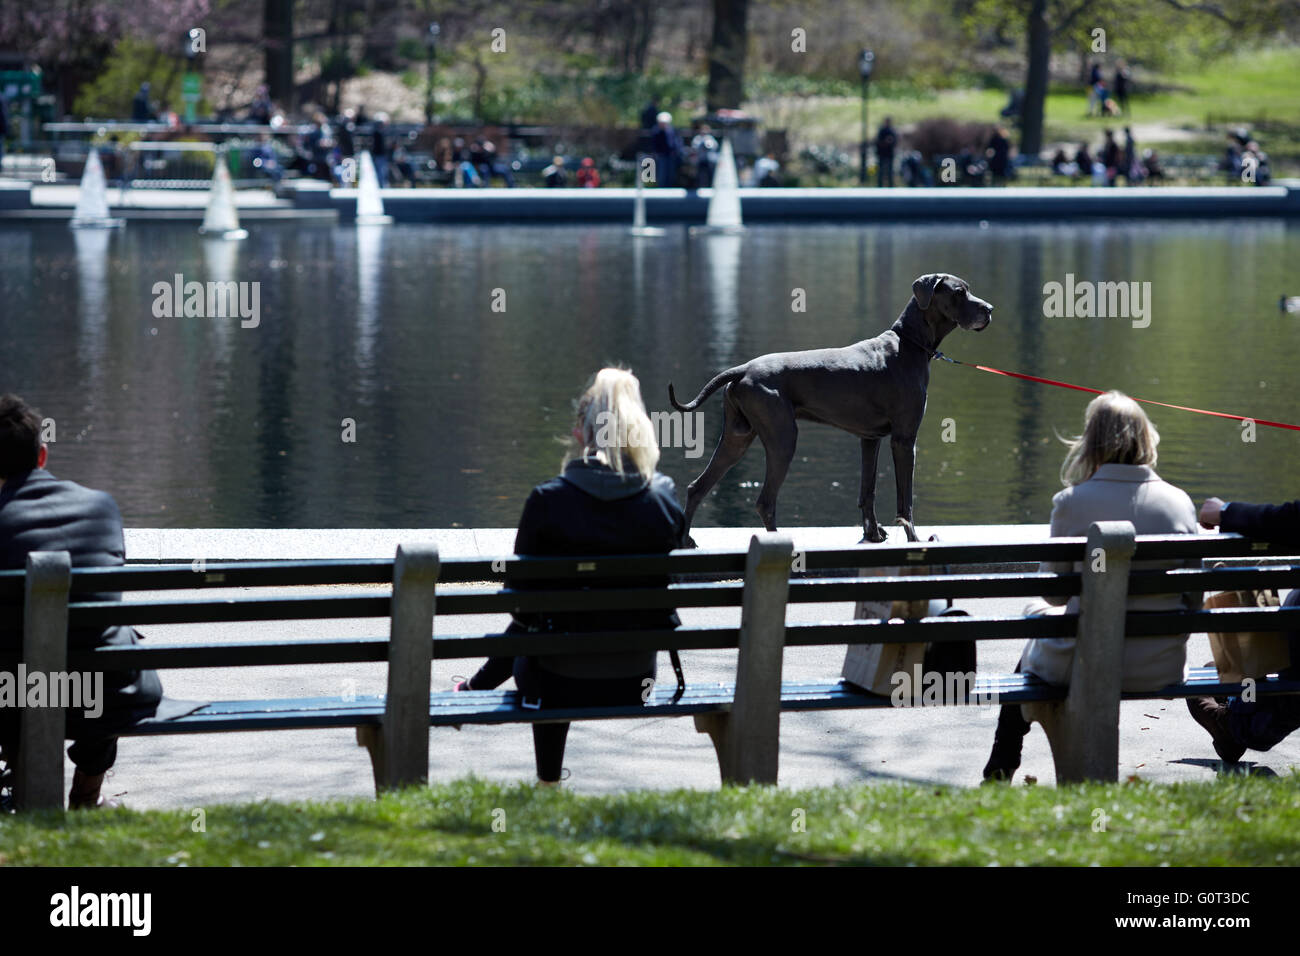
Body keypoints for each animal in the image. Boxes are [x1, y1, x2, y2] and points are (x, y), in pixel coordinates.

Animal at [670, 273, 993, 541]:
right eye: (959, 292)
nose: (989, 309)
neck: (910, 343)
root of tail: (743, 369)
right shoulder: (904, 439)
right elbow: (906, 500)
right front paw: (913, 538)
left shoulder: (870, 439)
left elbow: (868, 491)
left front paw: (873, 535)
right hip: (782, 438)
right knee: (765, 501)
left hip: (736, 437)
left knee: (697, 487)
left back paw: (685, 541)